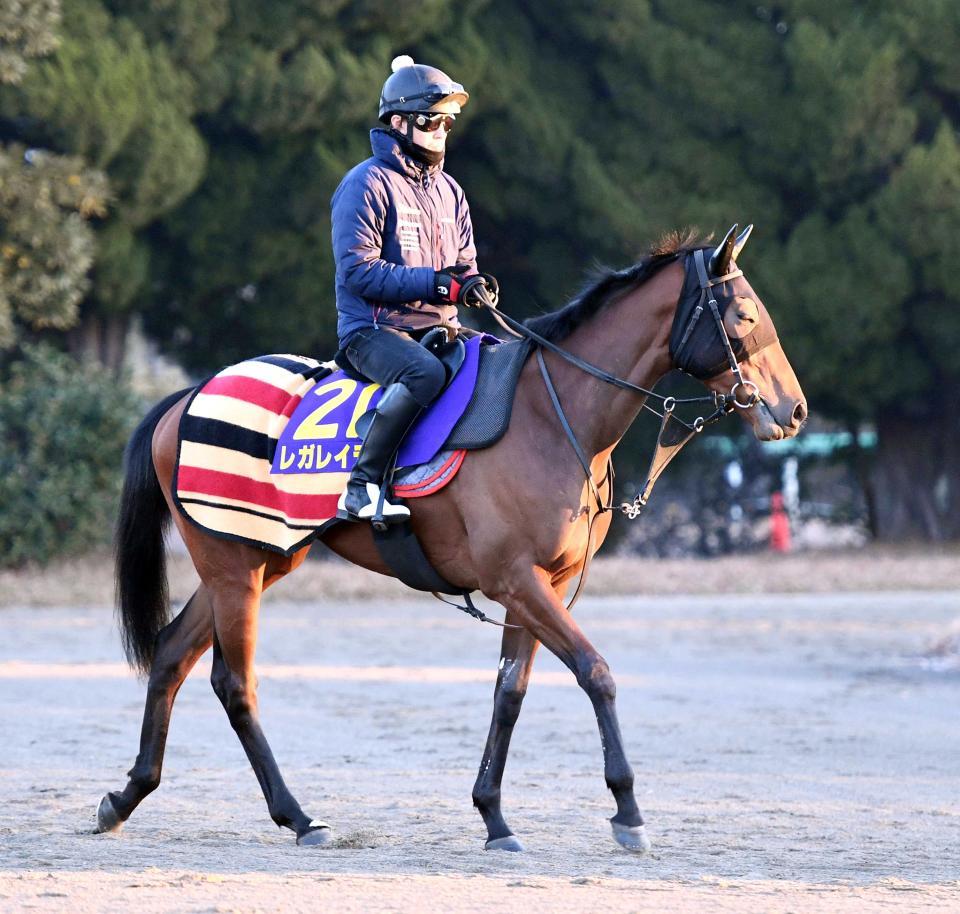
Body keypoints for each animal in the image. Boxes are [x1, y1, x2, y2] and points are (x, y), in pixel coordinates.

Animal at [97, 224, 808, 852]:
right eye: (744, 314)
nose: (794, 410)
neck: (549, 416)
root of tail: (188, 396)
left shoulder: (540, 586)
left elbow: (509, 693)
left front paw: (494, 816)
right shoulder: (515, 579)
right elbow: (595, 672)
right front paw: (627, 810)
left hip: (262, 559)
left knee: (172, 655)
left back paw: (126, 796)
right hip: (234, 567)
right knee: (235, 684)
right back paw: (299, 817)